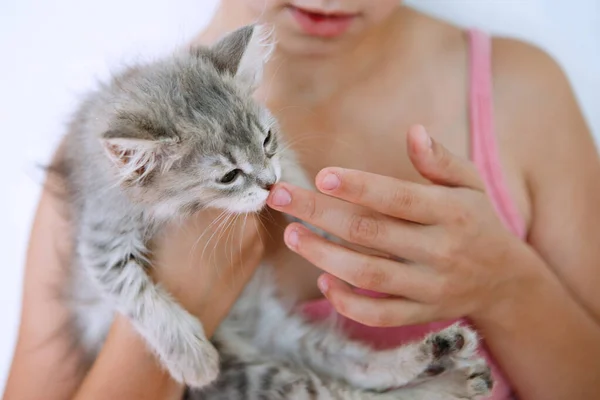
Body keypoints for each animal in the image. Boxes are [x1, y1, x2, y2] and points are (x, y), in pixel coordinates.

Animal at [61, 25, 492, 400]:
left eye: (267, 140)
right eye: (229, 175)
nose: (267, 183)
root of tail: (253, 334)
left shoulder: (282, 159)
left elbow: (296, 177)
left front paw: (318, 219)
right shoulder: (101, 238)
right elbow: (139, 296)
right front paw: (193, 358)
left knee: (353, 369)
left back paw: (445, 357)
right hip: (253, 376)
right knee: (348, 389)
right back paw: (452, 376)